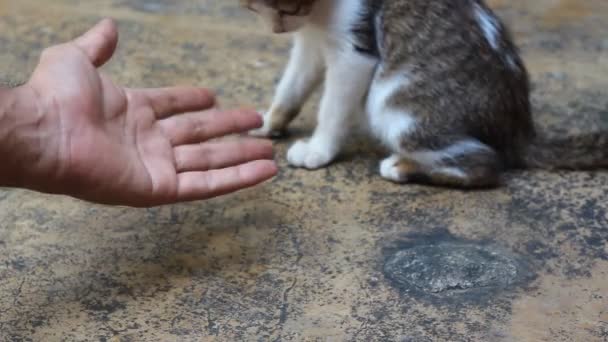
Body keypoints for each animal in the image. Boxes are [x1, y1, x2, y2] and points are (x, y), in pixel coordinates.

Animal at [242, 0, 608, 187]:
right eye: (255, 7)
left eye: (288, 8)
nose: (277, 27)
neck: (318, 15)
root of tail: (520, 130)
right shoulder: (310, 43)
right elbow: (293, 83)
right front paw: (268, 121)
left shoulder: (355, 54)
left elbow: (333, 109)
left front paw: (319, 150)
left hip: (395, 104)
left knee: (486, 163)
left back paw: (404, 167)